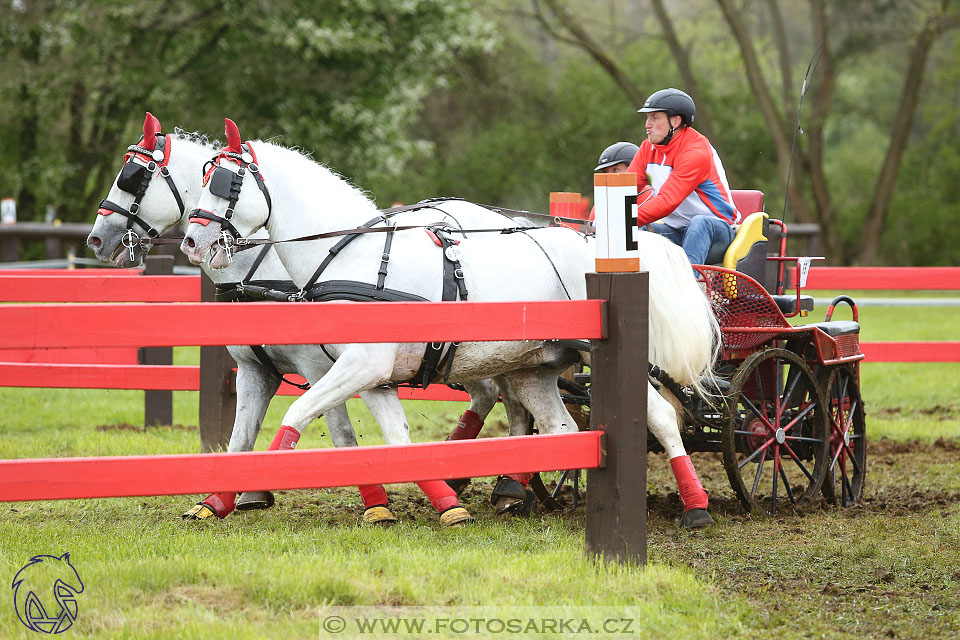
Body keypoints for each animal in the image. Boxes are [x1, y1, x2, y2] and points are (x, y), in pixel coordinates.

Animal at [89, 114, 524, 524]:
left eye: (134, 177)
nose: (96, 239)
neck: (265, 271)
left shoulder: (320, 366)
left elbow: (341, 433)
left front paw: (376, 504)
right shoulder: (254, 370)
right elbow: (241, 437)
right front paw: (219, 500)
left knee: (505, 399)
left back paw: (503, 483)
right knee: (499, 396)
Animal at [180, 117, 724, 528]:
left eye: (225, 183)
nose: (191, 242)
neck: (353, 256)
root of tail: (599, 244)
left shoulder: (358, 366)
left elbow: (296, 414)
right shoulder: (373, 377)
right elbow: (399, 441)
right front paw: (447, 504)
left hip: (609, 360)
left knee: (660, 417)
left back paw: (695, 507)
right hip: (534, 368)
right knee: (559, 425)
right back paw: (519, 489)